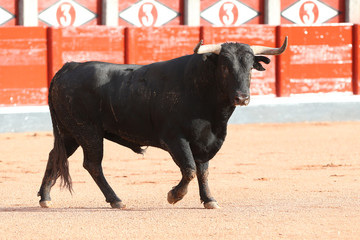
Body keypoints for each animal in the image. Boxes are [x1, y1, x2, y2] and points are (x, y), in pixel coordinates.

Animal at [38, 38, 288, 209]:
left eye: (250, 67)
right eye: (225, 66)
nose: (242, 97)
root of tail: (69, 66)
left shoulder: (205, 141)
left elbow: (203, 171)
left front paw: (209, 200)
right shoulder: (176, 139)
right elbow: (189, 169)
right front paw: (174, 196)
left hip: (70, 133)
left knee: (55, 156)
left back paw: (45, 197)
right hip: (87, 131)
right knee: (92, 164)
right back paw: (116, 200)